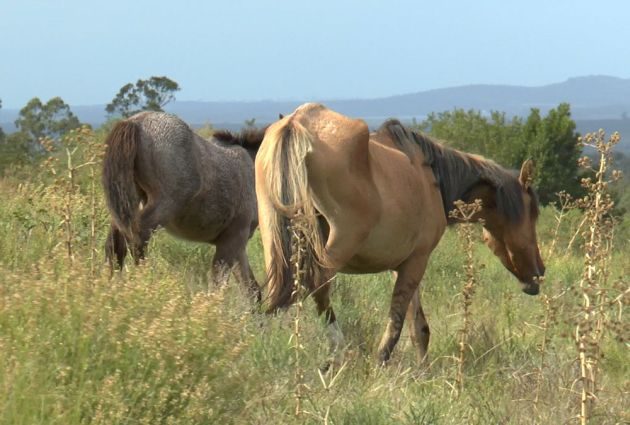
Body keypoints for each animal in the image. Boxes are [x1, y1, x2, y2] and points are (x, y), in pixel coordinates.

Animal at [103, 111, 264, 300]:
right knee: (137, 238)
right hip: (163, 206)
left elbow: (252, 291)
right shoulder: (234, 239)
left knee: (115, 244)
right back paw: (145, 282)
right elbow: (218, 283)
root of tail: (136, 121)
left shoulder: (236, 244)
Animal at [256, 102, 548, 362]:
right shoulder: (417, 261)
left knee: (277, 296)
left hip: (277, 245)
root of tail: (296, 123)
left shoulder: (403, 264)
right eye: (533, 214)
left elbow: (418, 328)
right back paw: (337, 351)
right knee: (315, 287)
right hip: (334, 250)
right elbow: (396, 326)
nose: (540, 272)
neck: (434, 179)